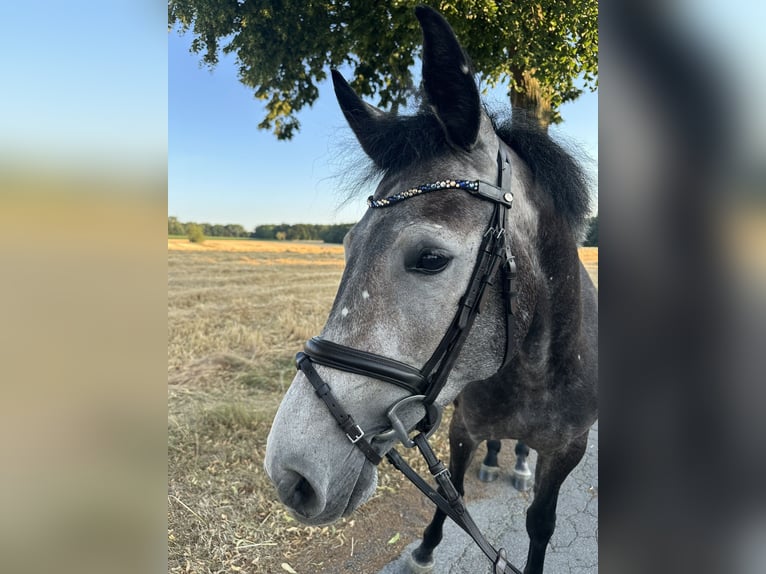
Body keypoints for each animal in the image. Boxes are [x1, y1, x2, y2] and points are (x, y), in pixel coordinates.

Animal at [264, 6, 597, 573]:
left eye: (430, 259)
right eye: (347, 246)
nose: (291, 475)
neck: (538, 373)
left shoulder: (569, 451)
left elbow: (541, 524)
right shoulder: (462, 426)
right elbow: (453, 488)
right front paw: (425, 545)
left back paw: (519, 464)